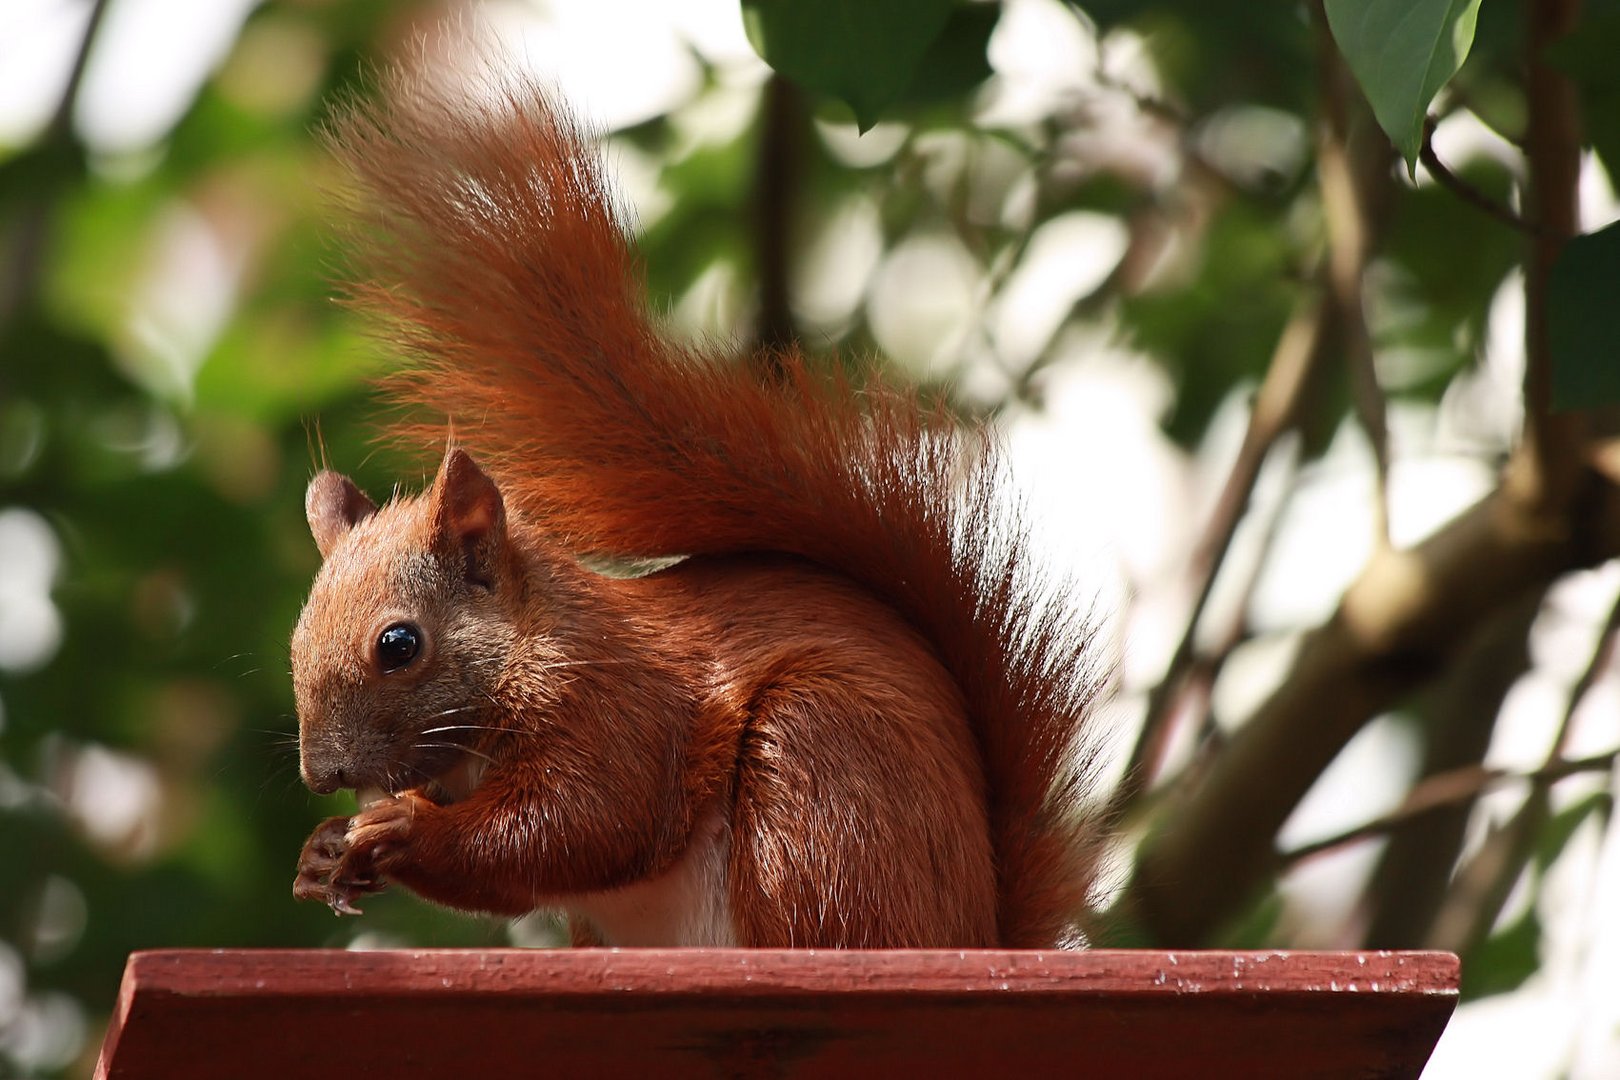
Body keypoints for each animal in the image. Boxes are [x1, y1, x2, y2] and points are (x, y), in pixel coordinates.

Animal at [288, 57, 1101, 945]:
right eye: (296, 643)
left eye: (399, 645)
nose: (323, 773)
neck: (533, 642)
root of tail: (975, 931)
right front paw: (324, 850)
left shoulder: (621, 707)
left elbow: (585, 823)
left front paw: (404, 828)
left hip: (818, 773)